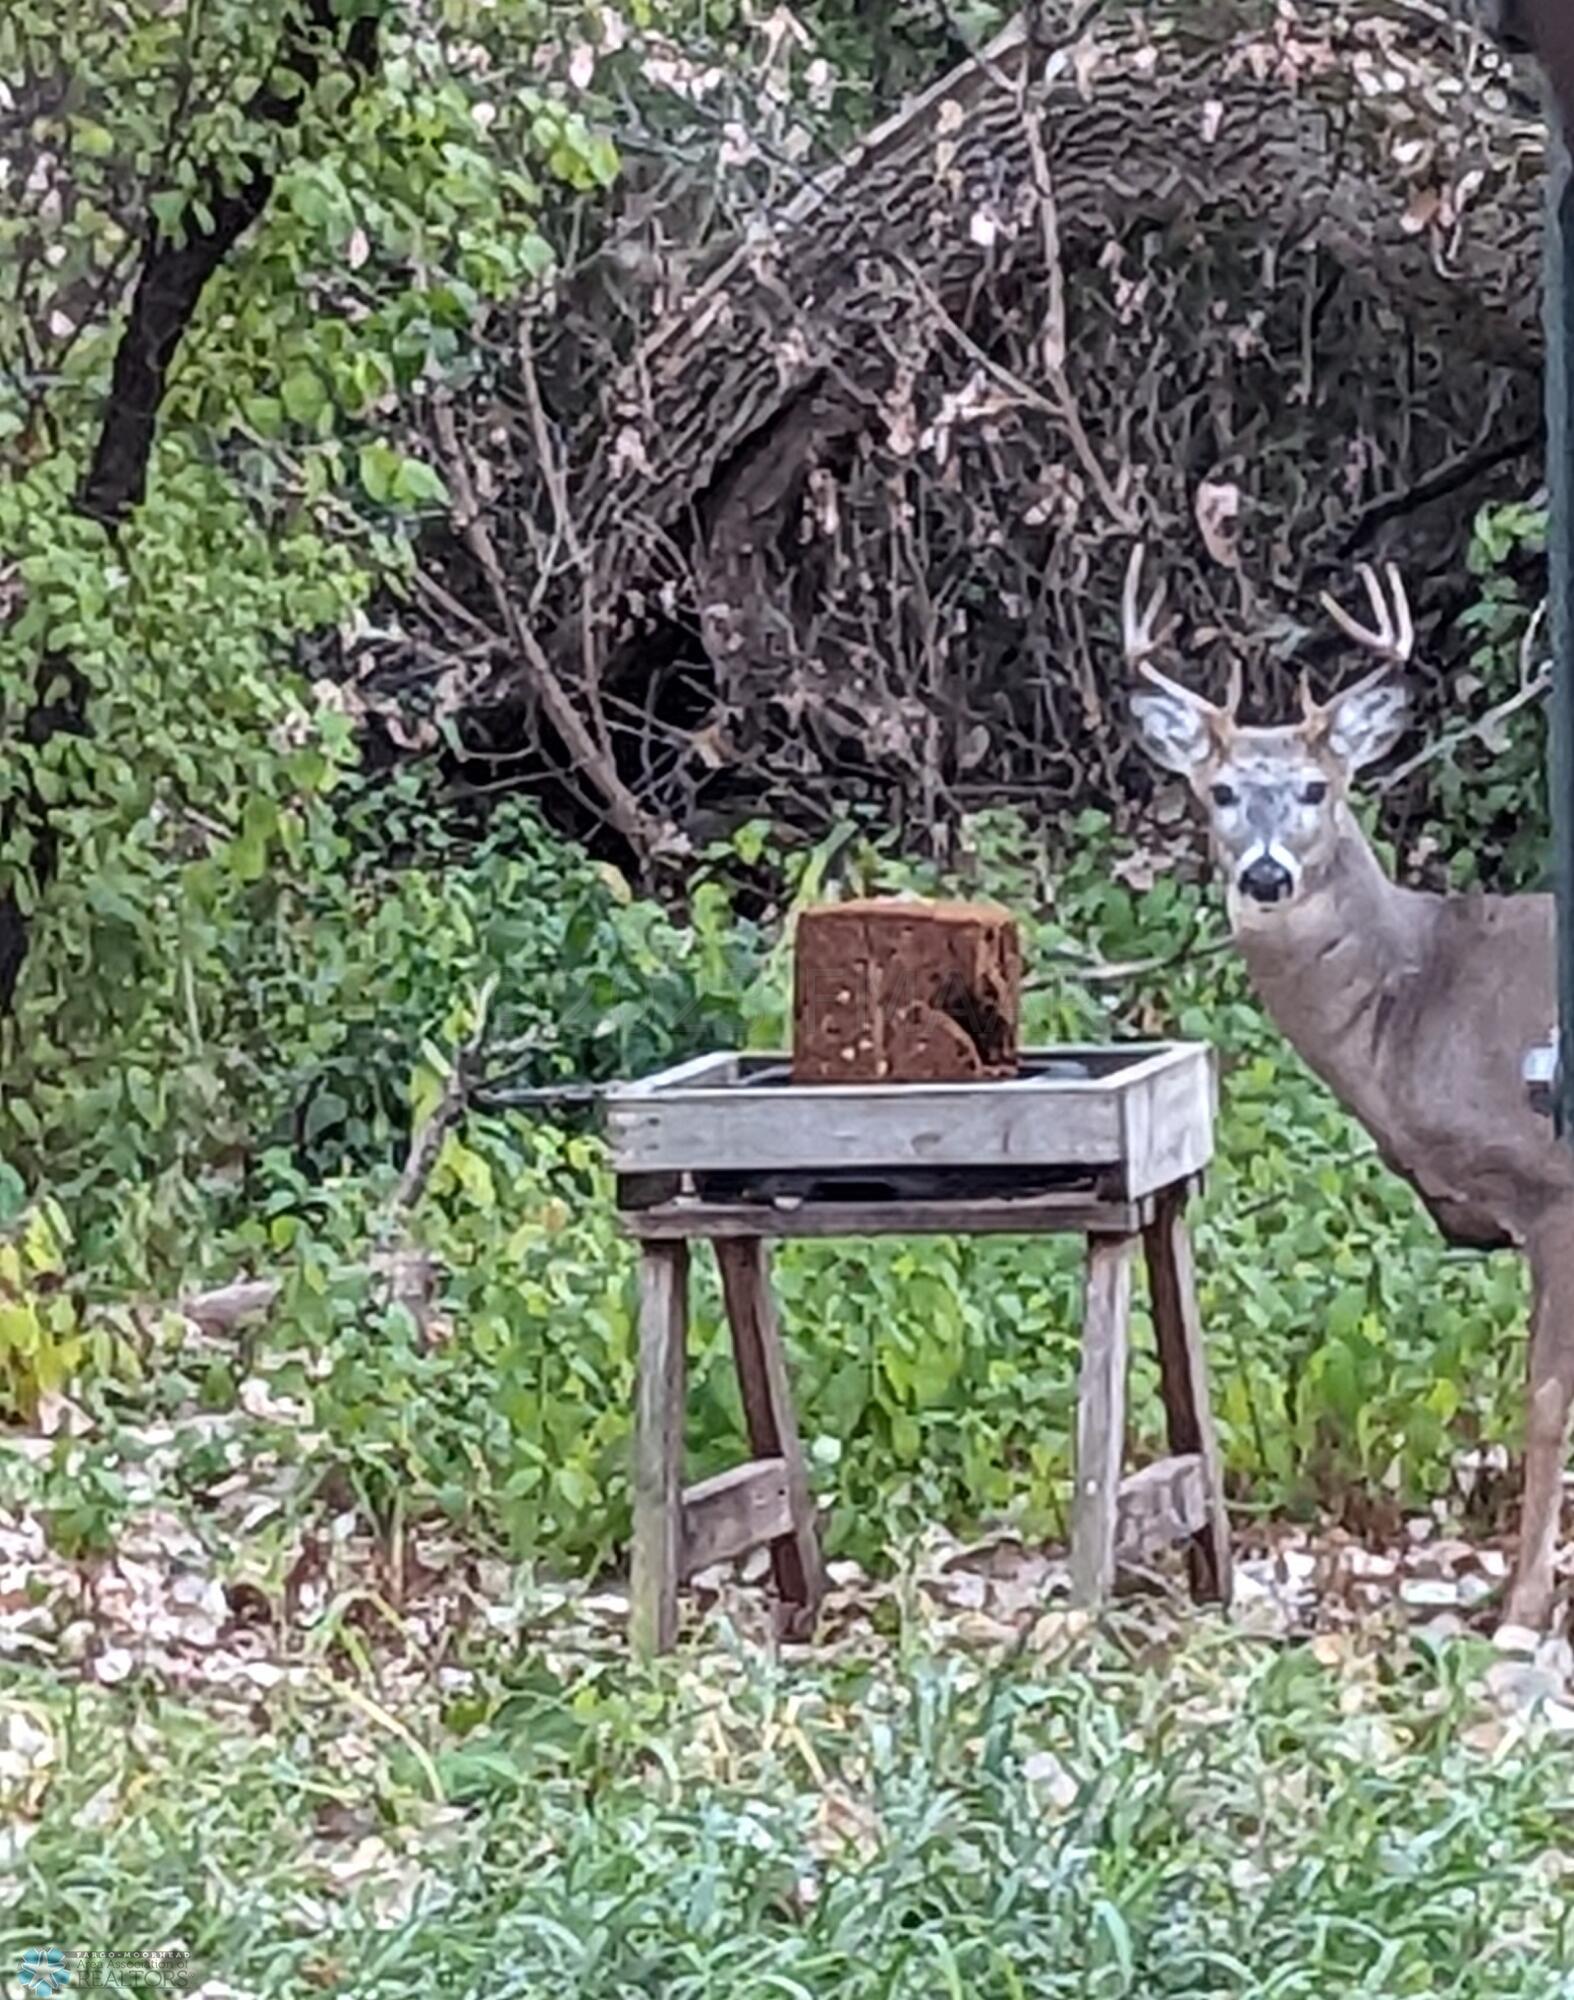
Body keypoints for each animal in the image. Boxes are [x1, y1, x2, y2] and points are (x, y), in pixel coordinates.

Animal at [1123, 546, 1574, 1634]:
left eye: (1316, 787)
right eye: (1220, 791)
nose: (1266, 875)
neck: (1414, 1000)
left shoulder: (1552, 1190)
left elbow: (1544, 1402)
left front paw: (1522, 1602)